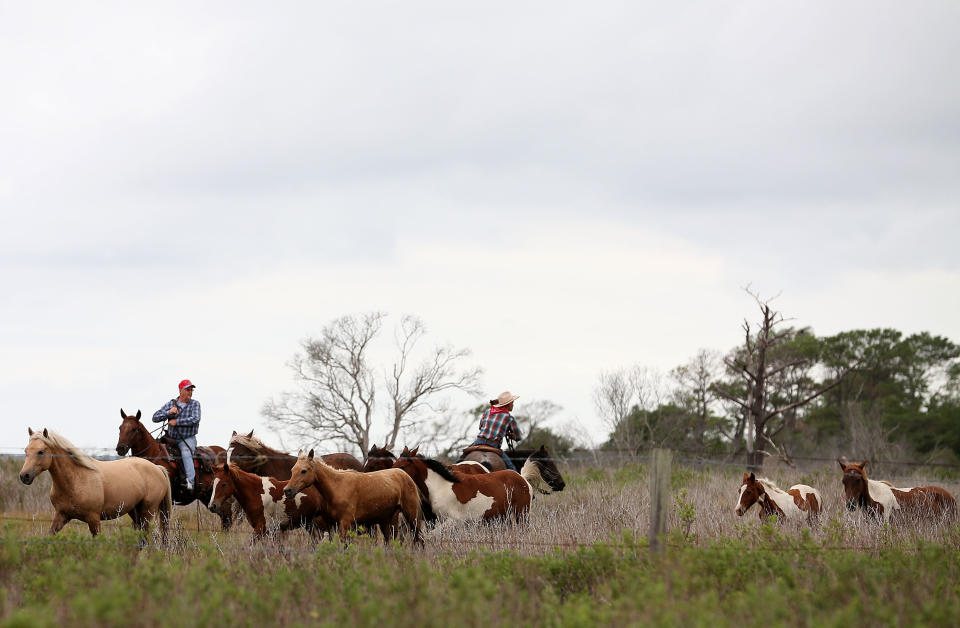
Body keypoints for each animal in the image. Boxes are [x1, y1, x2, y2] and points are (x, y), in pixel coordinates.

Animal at [19, 426, 172, 540]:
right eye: (26, 450)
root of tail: (157, 469)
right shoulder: (61, 516)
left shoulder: (93, 519)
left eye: (41, 451)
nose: (24, 476)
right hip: (135, 512)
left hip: (147, 512)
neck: (75, 481)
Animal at [282, 446, 424, 544]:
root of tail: (404, 475)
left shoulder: (345, 524)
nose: (287, 490)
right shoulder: (331, 525)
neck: (337, 487)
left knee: (419, 539)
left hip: (412, 516)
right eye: (292, 470)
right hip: (387, 521)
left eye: (303, 471)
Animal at [394, 446, 536, 524]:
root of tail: (522, 478)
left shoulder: (453, 521)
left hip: (522, 513)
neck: (441, 485)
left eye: (403, 466)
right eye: (394, 463)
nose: (394, 477)